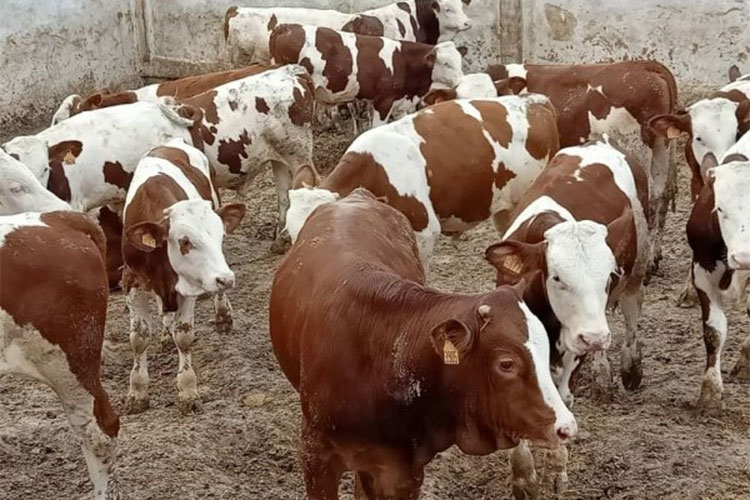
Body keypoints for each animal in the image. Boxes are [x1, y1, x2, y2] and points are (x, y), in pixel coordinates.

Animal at [121, 138, 245, 414]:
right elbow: (139, 338)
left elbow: (184, 335)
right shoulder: (132, 281)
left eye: (220, 236)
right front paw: (137, 392)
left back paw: (222, 315)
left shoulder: (190, 285)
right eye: (185, 241)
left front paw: (188, 390)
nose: (226, 278)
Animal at [269, 24, 464, 125]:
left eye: (460, 61)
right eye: (446, 63)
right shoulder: (383, 102)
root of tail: (285, 27)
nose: (461, 81)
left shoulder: (399, 104)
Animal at [484, 137, 650, 498]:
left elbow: (562, 401)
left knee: (632, 312)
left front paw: (557, 468)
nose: (595, 337)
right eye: (558, 277)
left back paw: (629, 367)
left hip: (637, 269)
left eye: (608, 277)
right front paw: (524, 478)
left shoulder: (574, 351)